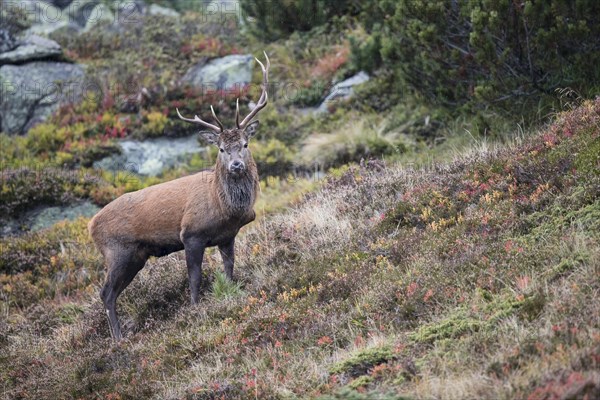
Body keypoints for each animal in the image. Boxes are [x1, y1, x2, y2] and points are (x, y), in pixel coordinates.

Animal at [88, 52, 270, 340]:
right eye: (221, 149)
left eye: (245, 144)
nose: (236, 165)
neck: (225, 207)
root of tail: (90, 225)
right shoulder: (191, 233)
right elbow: (194, 277)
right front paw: (195, 309)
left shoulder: (227, 236)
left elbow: (229, 270)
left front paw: (230, 292)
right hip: (117, 252)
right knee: (106, 293)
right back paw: (118, 339)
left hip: (135, 256)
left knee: (111, 294)